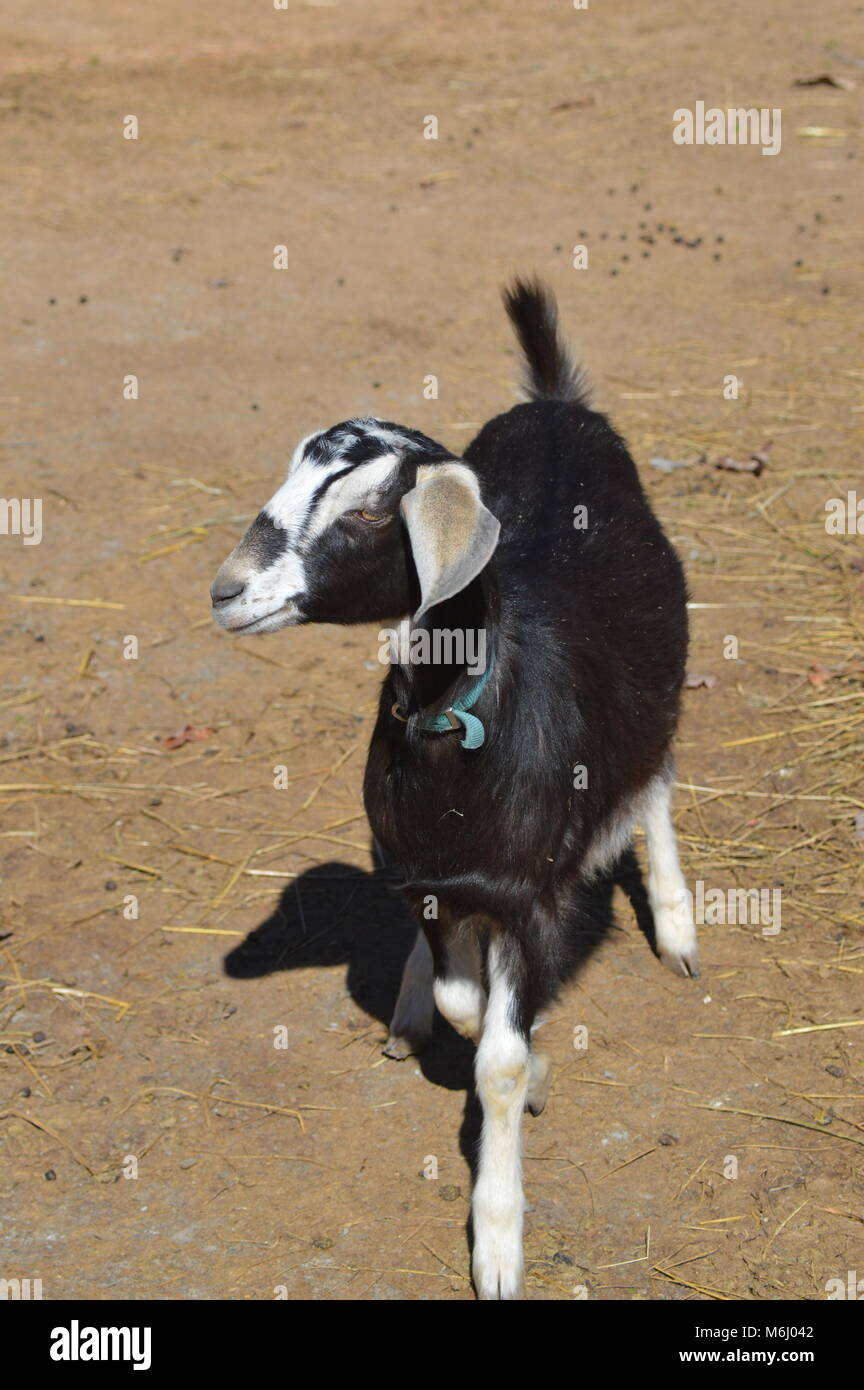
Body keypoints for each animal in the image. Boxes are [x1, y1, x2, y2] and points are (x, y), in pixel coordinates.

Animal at [213, 282, 700, 1301]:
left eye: (366, 514)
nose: (227, 592)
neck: (461, 718)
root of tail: (554, 402)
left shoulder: (529, 896)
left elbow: (500, 1062)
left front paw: (500, 1239)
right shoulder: (440, 881)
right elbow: (463, 1004)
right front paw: (469, 1023)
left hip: (660, 684)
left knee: (654, 785)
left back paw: (677, 928)